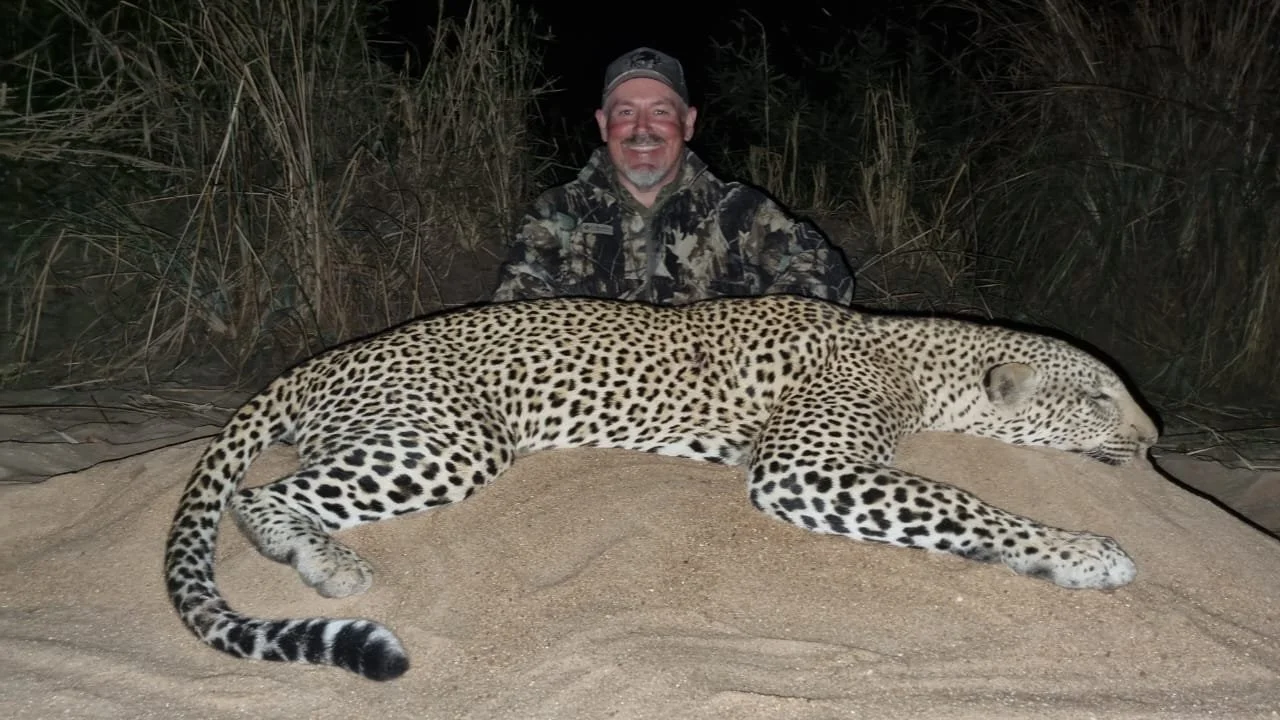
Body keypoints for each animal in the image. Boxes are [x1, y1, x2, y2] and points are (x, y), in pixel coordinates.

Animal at [164, 294, 1158, 682]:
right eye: (1100, 395)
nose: (1157, 440)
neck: (919, 359)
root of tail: (318, 361)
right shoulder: (802, 467)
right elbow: (960, 502)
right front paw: (1078, 550)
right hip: (452, 436)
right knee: (260, 495)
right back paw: (326, 564)